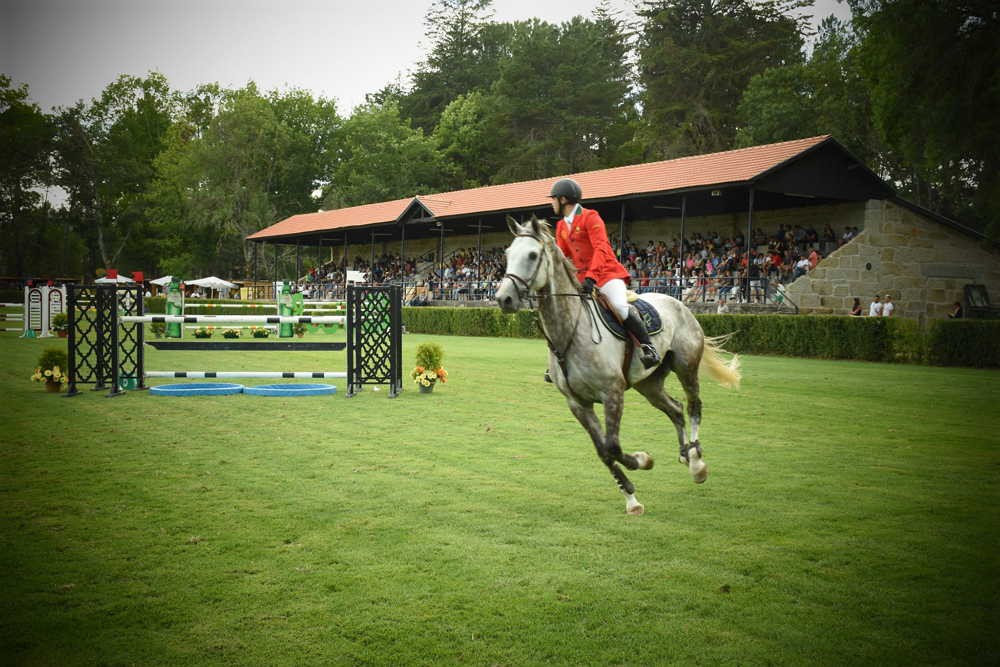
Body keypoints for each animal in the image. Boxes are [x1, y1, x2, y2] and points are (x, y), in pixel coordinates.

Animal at [496, 217, 740, 516]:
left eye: (532, 255)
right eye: (508, 254)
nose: (503, 299)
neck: (570, 331)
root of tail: (678, 302)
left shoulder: (612, 393)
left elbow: (612, 446)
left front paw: (642, 461)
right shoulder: (578, 404)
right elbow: (603, 450)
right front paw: (631, 496)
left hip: (686, 367)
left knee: (694, 406)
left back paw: (696, 463)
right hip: (649, 384)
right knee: (675, 409)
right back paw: (684, 454)